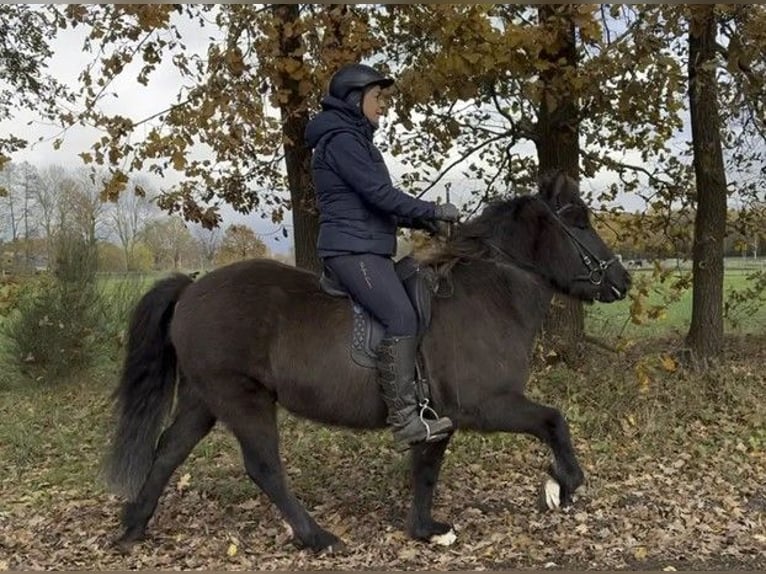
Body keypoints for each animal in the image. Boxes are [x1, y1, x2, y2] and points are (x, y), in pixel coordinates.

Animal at [106, 173, 632, 556]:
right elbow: (553, 421)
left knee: (168, 451)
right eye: (578, 221)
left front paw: (424, 528)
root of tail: (192, 288)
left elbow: (427, 467)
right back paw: (317, 537)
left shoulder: (440, 417)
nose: (623, 280)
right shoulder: (486, 405)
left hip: (204, 397)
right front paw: (562, 484)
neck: (489, 293)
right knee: (263, 467)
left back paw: (134, 526)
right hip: (241, 398)